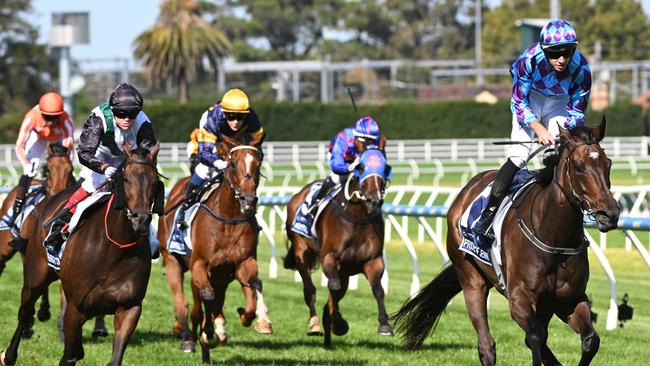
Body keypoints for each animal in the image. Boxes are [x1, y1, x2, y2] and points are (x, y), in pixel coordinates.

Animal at [1, 143, 163, 366]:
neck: (114, 249)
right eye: (126, 178)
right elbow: (69, 355)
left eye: (155, 181)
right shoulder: (76, 308)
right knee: (25, 313)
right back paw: (9, 355)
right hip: (35, 276)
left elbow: (111, 357)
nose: (141, 220)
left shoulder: (129, 307)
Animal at [284, 138, 390, 348]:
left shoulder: (372, 261)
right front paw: (339, 322)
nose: (374, 201)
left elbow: (378, 290)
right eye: (361, 167)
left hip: (345, 271)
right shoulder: (330, 258)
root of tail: (298, 194)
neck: (357, 217)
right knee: (310, 289)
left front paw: (384, 325)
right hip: (301, 251)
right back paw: (315, 324)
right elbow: (333, 286)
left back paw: (327, 338)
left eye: (385, 167)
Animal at [392, 118, 620, 364]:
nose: (609, 214)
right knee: (487, 345)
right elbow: (535, 337)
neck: (555, 238)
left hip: (546, 306)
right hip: (471, 279)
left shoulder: (570, 299)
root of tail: (467, 190)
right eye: (578, 166)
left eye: (608, 163)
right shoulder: (519, 298)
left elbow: (590, 341)